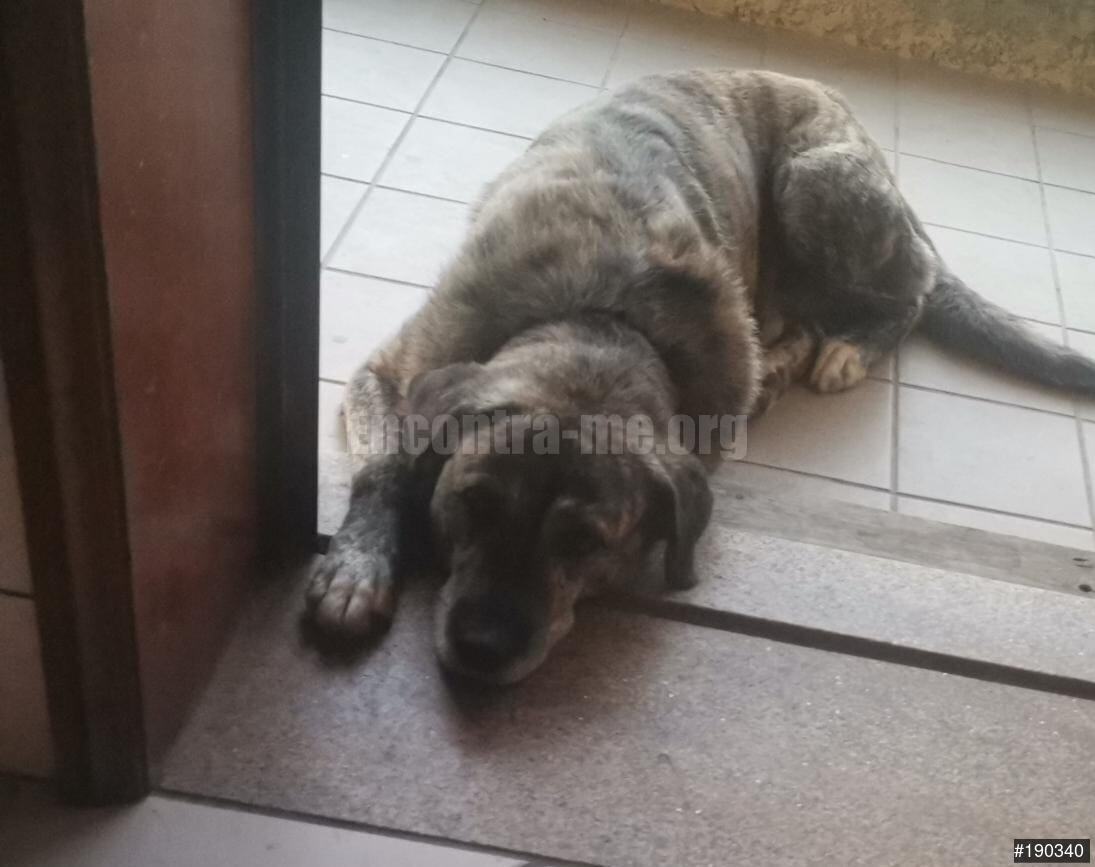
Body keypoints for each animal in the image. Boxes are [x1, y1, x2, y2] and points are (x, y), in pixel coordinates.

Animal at [307, 70, 1095, 683]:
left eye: (586, 544)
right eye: (473, 504)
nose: (481, 647)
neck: (600, 315)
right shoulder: (392, 371)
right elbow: (385, 466)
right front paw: (359, 566)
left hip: (814, 182)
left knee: (912, 290)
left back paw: (847, 347)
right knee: (816, 310)